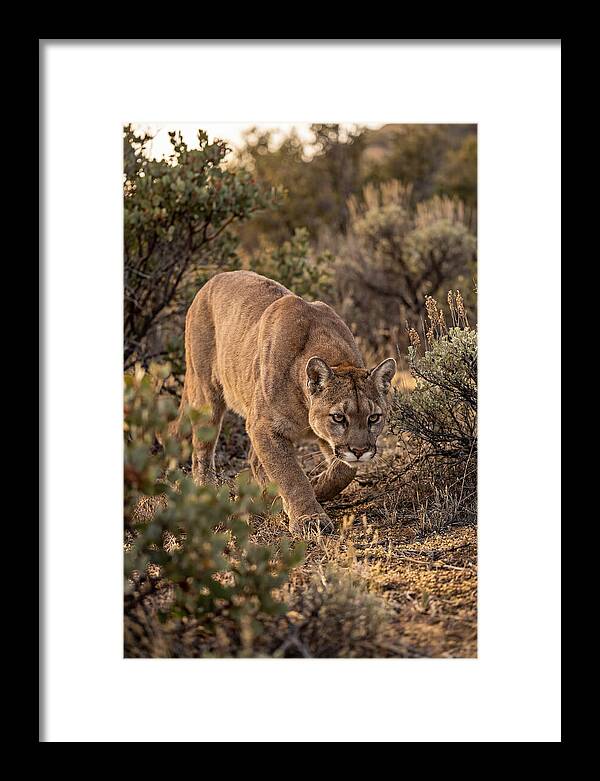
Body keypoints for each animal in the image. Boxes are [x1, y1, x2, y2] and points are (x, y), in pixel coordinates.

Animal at [173, 270, 396, 536]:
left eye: (374, 417)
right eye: (339, 417)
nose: (360, 451)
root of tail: (212, 279)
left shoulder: (322, 438)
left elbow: (344, 470)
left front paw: (317, 487)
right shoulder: (264, 426)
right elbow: (290, 474)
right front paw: (309, 518)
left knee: (254, 459)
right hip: (207, 394)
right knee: (202, 451)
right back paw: (208, 490)